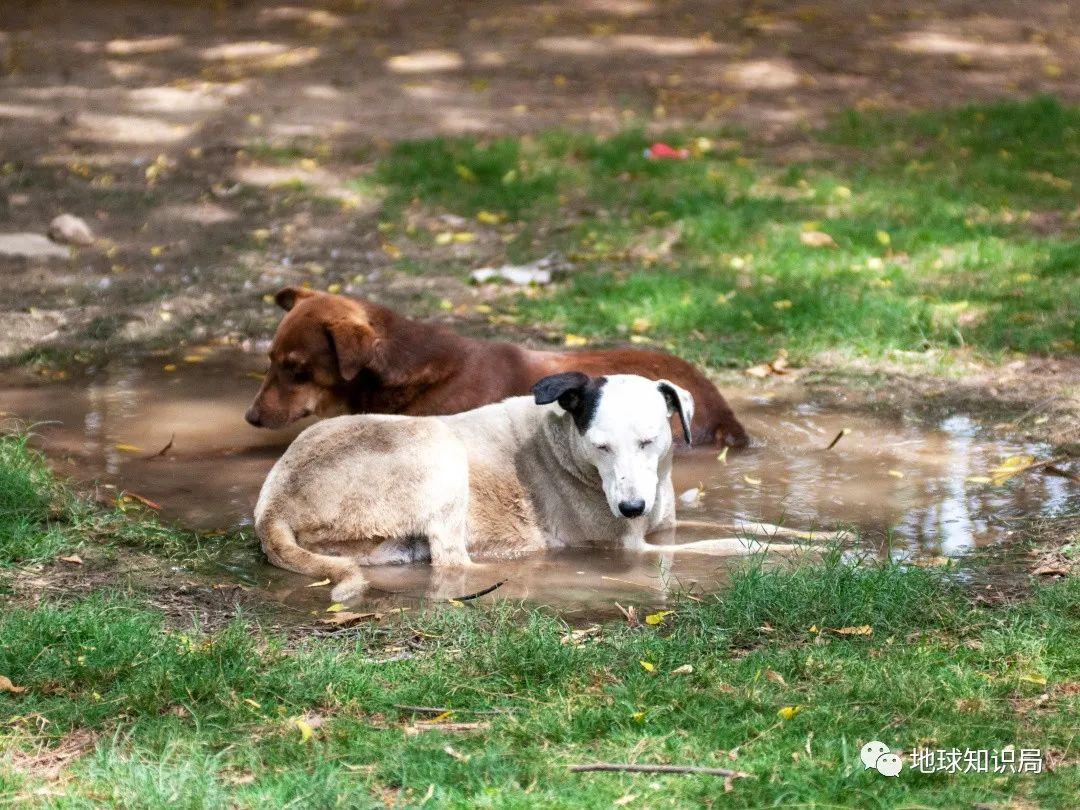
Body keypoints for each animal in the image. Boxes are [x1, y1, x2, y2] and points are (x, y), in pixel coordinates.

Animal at [252, 371, 794, 600]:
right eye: (600, 446)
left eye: (648, 440)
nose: (631, 508)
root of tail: (271, 505)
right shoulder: (634, 546)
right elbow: (731, 545)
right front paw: (806, 556)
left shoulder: (663, 522)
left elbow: (754, 527)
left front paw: (811, 537)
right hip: (437, 447)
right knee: (454, 561)